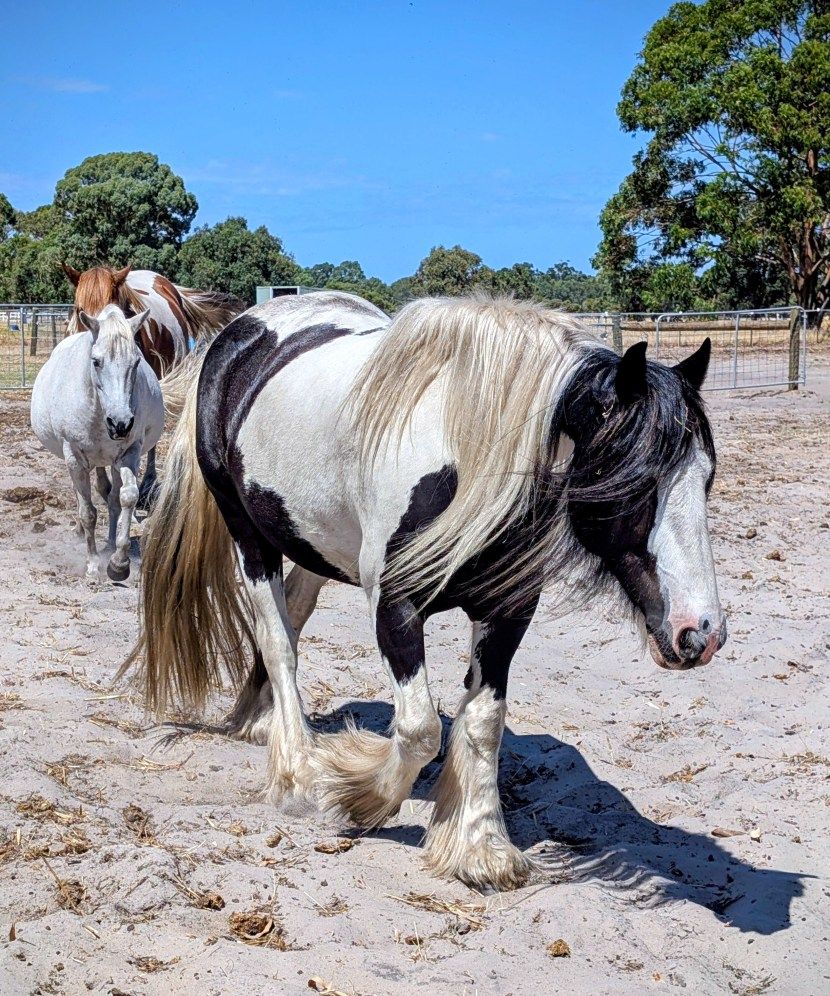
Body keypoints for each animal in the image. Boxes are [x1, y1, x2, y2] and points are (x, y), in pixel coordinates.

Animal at [31, 304, 164, 582]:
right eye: (96, 361)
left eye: (136, 362)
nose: (120, 423)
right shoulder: (74, 457)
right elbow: (88, 511)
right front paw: (92, 565)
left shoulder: (129, 453)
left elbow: (126, 497)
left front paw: (119, 562)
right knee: (84, 496)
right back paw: (81, 533)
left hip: (110, 461)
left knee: (110, 496)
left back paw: (111, 545)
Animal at [126, 290, 727, 891]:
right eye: (635, 480)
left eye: (707, 477)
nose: (700, 634)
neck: (465, 454)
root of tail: (241, 331)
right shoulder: (395, 605)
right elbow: (418, 729)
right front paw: (359, 797)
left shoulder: (509, 610)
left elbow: (483, 723)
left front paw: (483, 847)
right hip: (250, 537)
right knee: (277, 642)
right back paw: (296, 769)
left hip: (311, 543)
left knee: (290, 619)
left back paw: (259, 720)